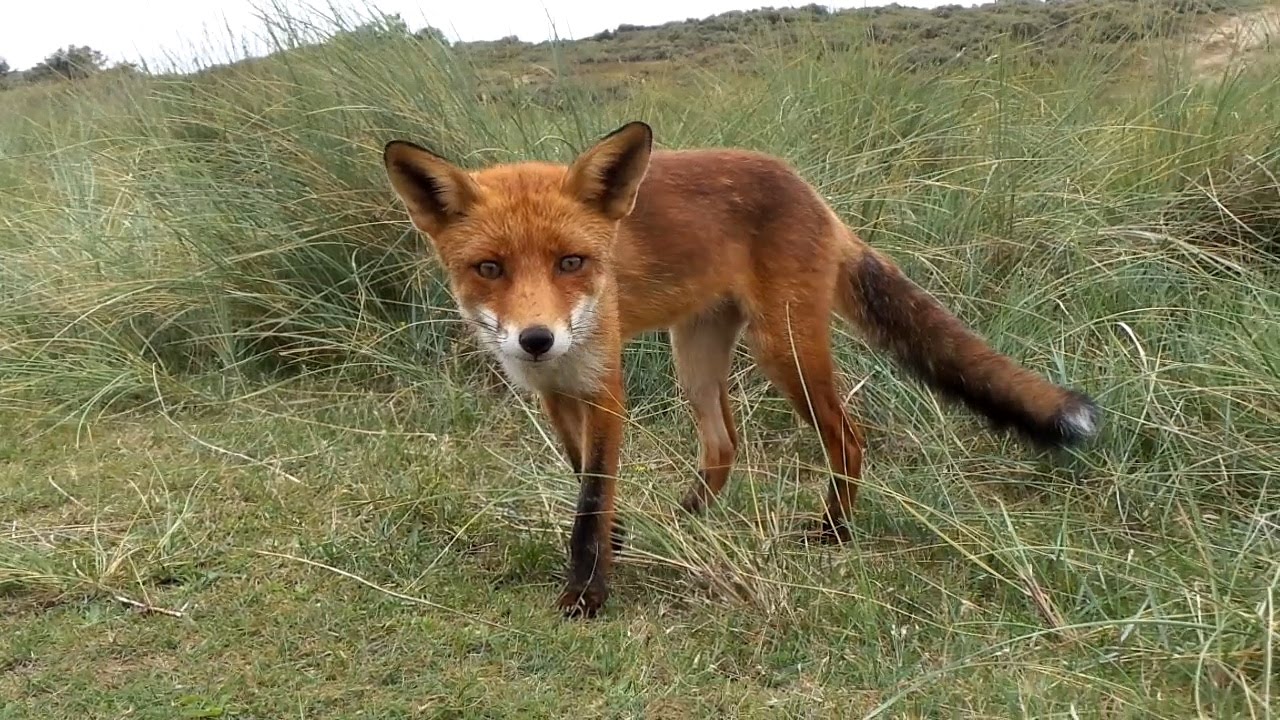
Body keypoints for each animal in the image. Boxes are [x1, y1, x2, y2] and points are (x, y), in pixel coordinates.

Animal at [378, 119, 1100, 617]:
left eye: (572, 262)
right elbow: (582, 474)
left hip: (784, 352)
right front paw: (617, 540)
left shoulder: (604, 386)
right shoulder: (554, 392)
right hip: (695, 359)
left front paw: (586, 595)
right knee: (725, 443)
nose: (536, 338)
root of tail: (811, 192)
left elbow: (590, 497)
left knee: (849, 435)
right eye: (489, 268)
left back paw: (833, 532)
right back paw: (689, 517)